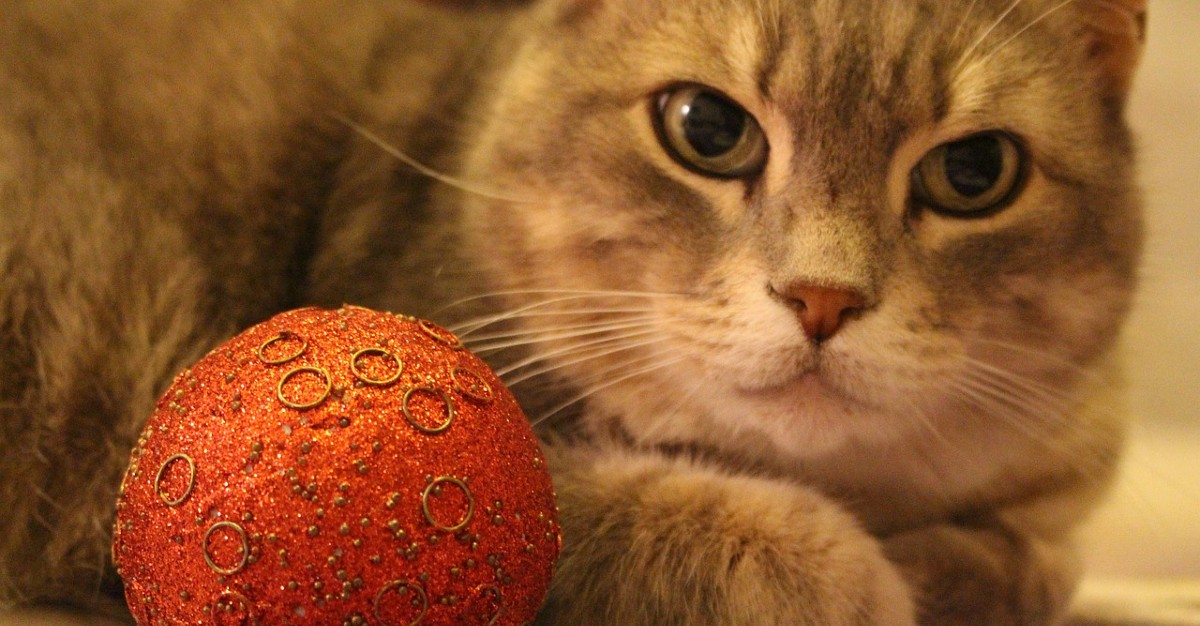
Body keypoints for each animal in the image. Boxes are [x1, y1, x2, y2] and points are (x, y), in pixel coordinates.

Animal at [0, 0, 1142, 618]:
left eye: (974, 172)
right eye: (707, 127)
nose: (823, 297)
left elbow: (1043, 557)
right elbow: (731, 529)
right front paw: (878, 580)